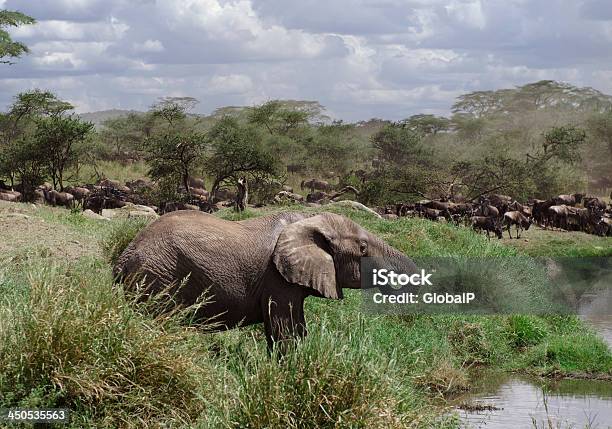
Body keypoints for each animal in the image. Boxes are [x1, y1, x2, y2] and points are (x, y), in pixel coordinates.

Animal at [114, 210, 416, 348]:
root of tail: (124, 257)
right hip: (157, 278)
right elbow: (285, 331)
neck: (308, 220)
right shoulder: (277, 279)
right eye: (363, 248)